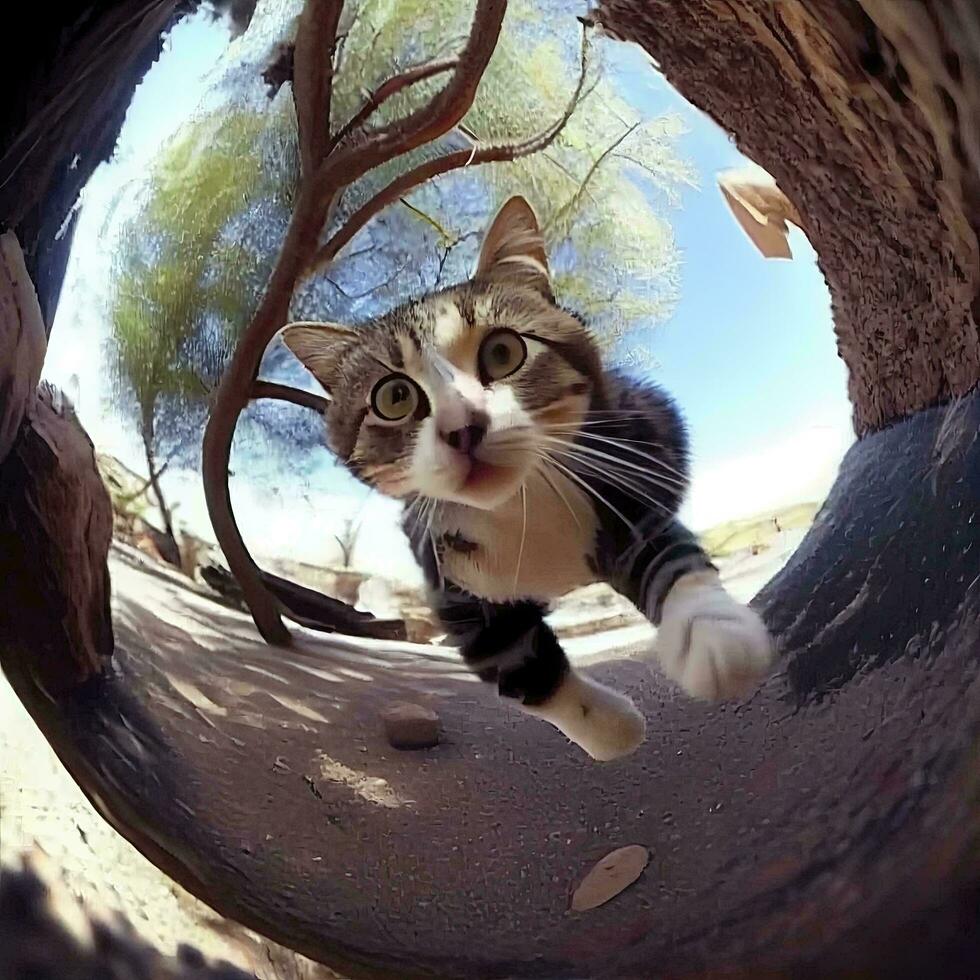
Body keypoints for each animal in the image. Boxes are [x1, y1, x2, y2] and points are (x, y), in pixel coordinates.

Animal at [282, 199, 772, 760]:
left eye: (502, 352)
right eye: (394, 397)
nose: (463, 426)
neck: (521, 510)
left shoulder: (621, 488)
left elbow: (667, 553)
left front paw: (713, 633)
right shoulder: (446, 577)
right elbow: (518, 663)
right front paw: (615, 729)